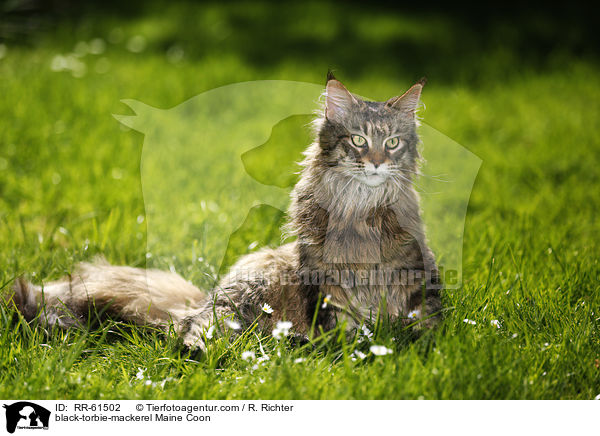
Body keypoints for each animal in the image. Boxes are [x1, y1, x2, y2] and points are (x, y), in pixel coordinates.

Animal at [7, 72, 442, 350]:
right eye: (358, 140)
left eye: (392, 142)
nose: (376, 163)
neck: (360, 210)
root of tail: (205, 295)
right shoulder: (326, 288)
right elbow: (346, 331)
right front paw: (352, 348)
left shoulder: (417, 277)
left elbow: (423, 325)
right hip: (244, 295)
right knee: (196, 333)